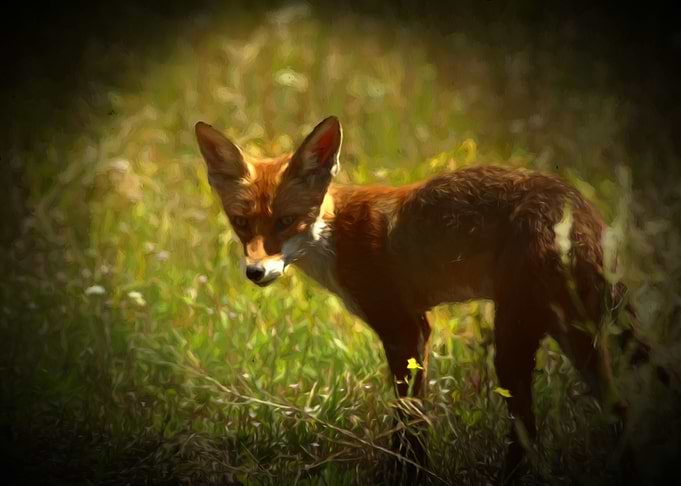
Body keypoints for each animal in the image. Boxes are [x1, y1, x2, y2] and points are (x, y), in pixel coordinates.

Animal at [194, 116, 667, 482]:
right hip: (575, 334)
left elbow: (408, 424)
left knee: (532, 431)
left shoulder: (403, 329)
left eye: (286, 221)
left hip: (514, 342)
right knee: (619, 410)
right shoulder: (420, 326)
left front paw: (407, 476)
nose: (256, 273)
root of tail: (582, 208)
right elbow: (414, 424)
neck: (335, 238)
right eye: (241, 222)